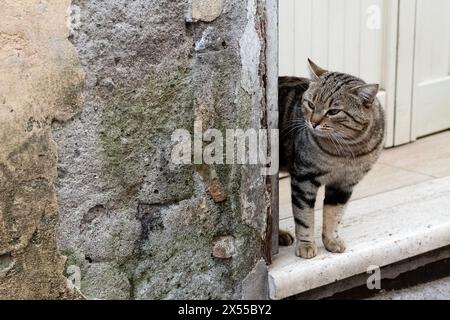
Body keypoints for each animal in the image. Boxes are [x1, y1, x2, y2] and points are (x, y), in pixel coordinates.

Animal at [278, 60, 386, 258]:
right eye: (311, 104)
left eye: (334, 111)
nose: (313, 122)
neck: (344, 152)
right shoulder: (303, 178)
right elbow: (304, 216)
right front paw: (306, 245)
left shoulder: (344, 184)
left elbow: (334, 214)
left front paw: (331, 240)